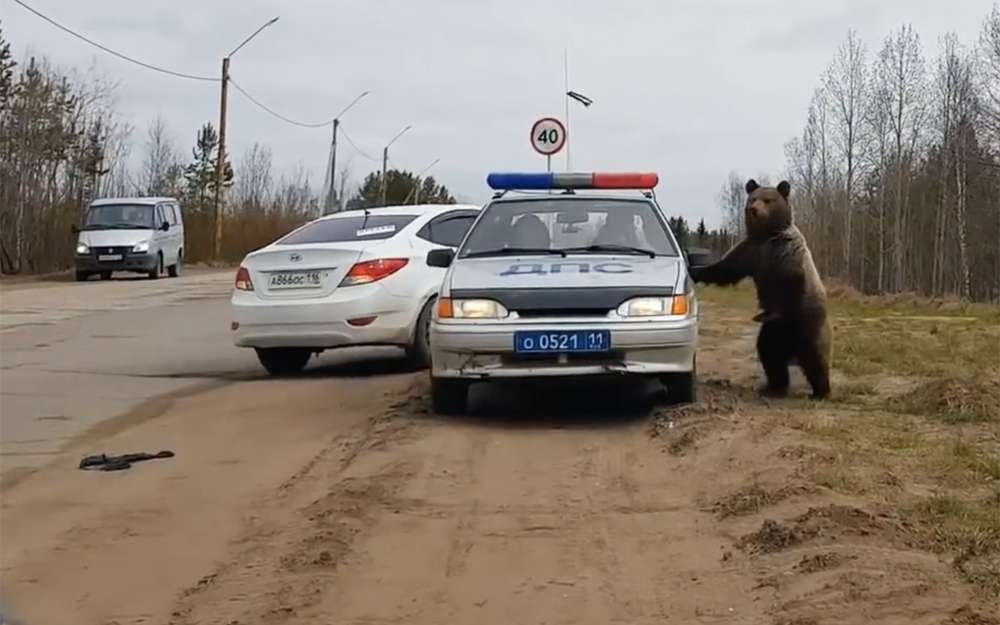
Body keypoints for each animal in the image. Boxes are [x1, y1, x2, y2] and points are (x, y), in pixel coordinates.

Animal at [692, 178, 832, 400]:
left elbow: (789, 284)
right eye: (753, 198)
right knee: (770, 354)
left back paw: (820, 392)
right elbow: (724, 270)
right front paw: (695, 271)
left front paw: (767, 312)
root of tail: (791, 347)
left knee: (814, 358)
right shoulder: (749, 253)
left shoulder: (784, 254)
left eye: (768, 200)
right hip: (773, 333)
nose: (753, 209)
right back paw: (774, 386)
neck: (766, 236)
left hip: (808, 323)